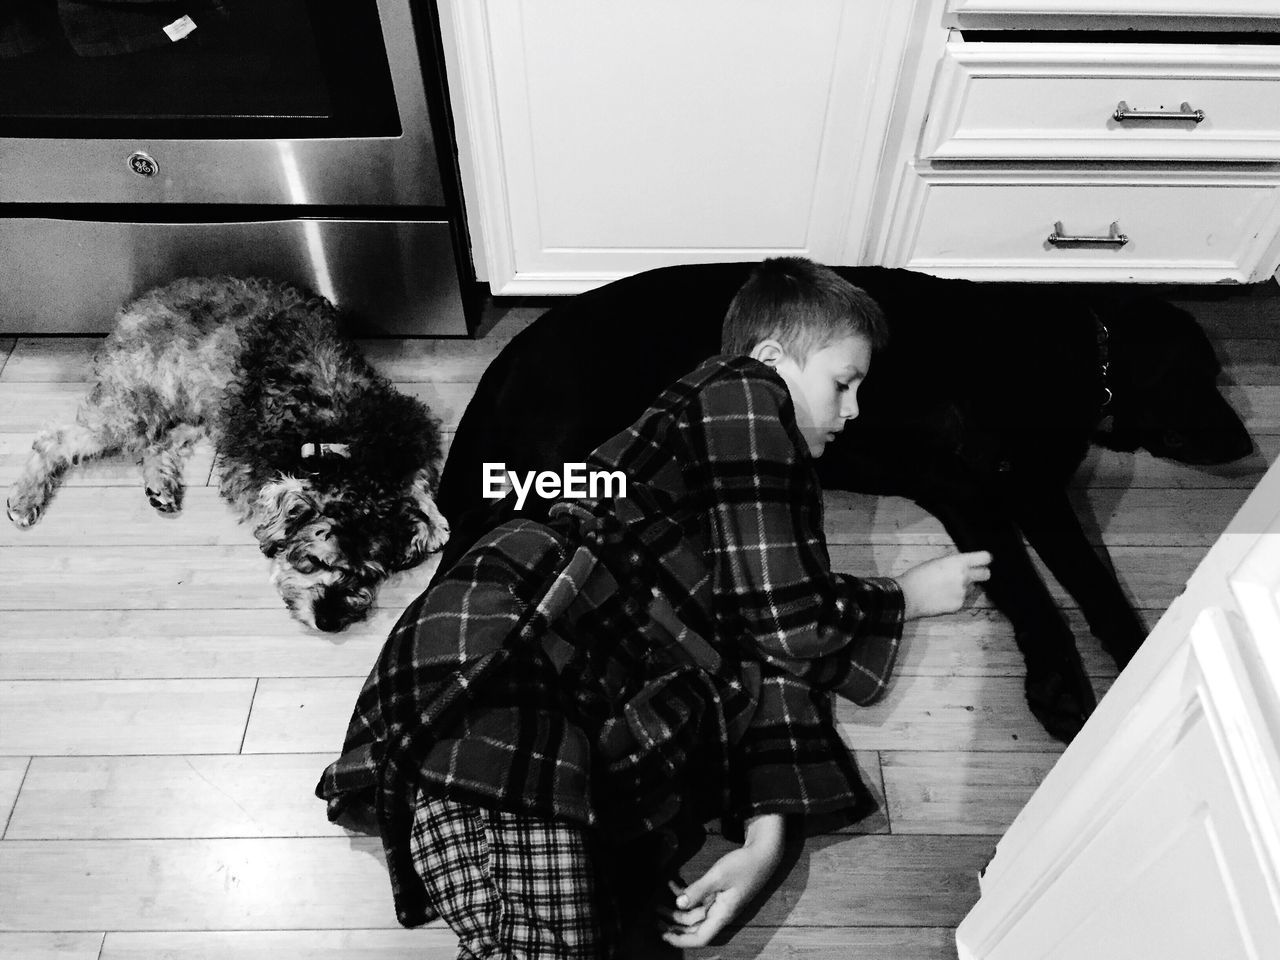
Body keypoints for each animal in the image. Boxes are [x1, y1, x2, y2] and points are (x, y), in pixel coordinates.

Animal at [6, 276, 450, 632]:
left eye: (368, 575)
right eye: (315, 561)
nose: (328, 621)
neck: (348, 453)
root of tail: (134, 306)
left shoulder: (414, 431)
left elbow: (421, 483)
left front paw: (430, 522)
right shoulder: (250, 468)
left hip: (198, 409)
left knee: (158, 441)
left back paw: (160, 485)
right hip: (138, 402)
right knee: (55, 439)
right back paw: (24, 499)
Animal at [437, 263, 1249, 742]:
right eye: (1200, 375)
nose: (1247, 441)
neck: (1081, 353)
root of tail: (518, 348)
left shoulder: (1030, 490)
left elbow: (1092, 581)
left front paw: (1141, 653)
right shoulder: (979, 485)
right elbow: (1031, 583)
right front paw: (1059, 680)